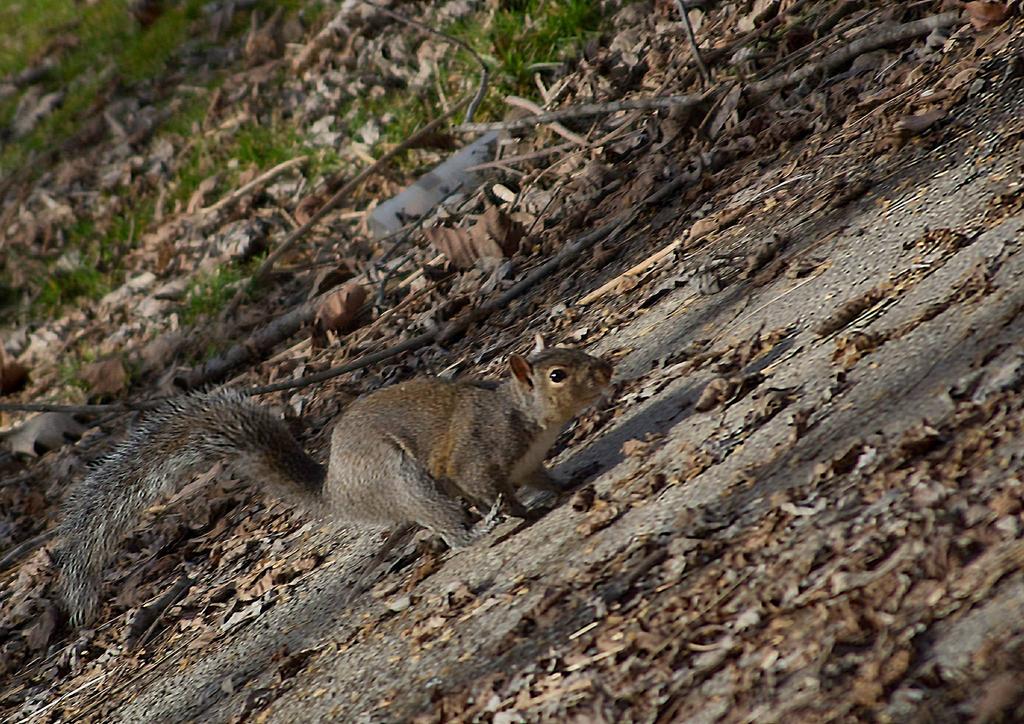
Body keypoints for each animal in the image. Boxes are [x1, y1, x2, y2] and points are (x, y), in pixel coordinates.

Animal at [55, 338, 613, 627]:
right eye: (558, 374)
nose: (606, 371)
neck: (523, 416)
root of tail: (338, 488)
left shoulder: (531, 464)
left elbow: (544, 476)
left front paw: (567, 483)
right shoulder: (475, 459)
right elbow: (495, 489)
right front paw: (523, 512)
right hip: (401, 477)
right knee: (441, 519)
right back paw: (475, 530)